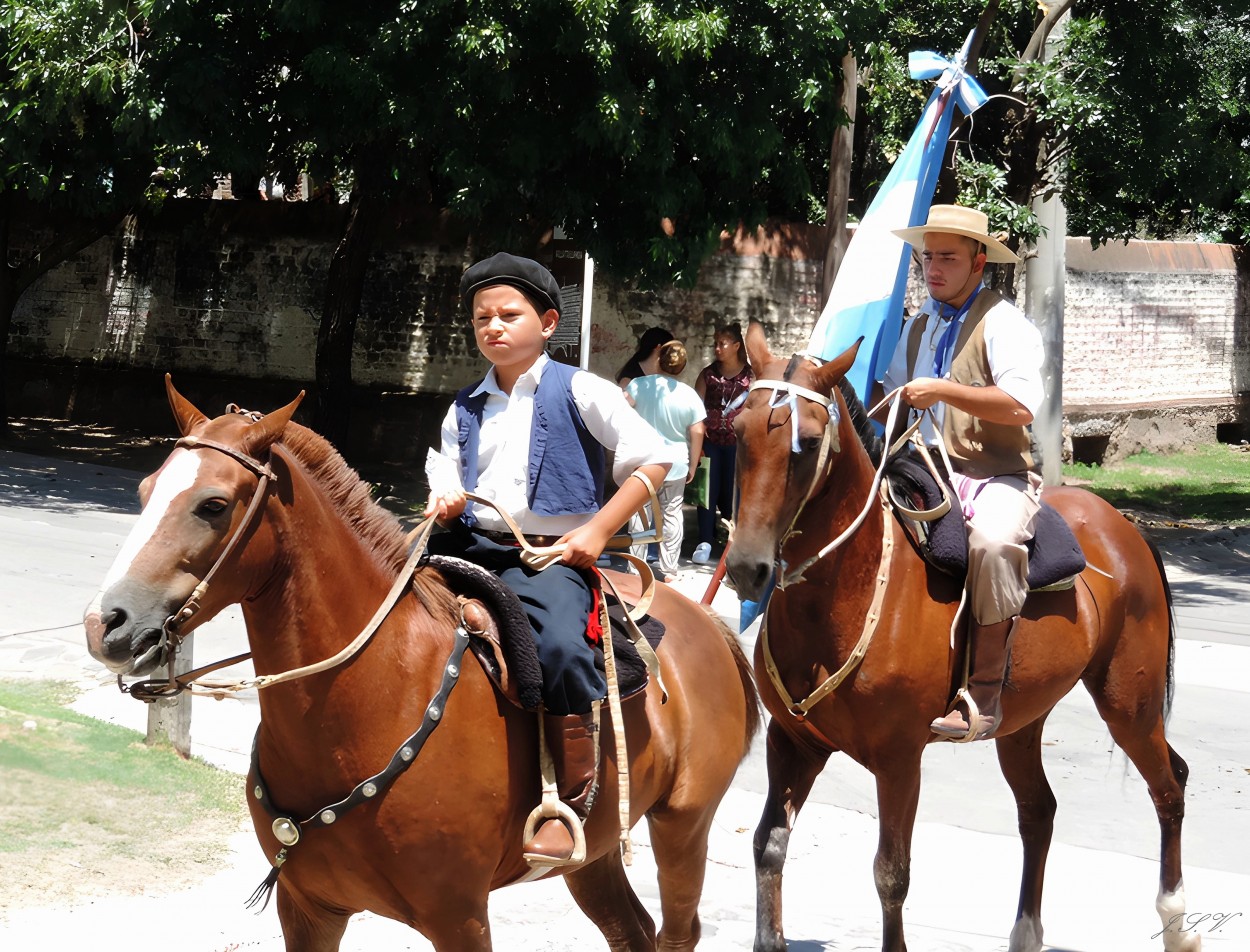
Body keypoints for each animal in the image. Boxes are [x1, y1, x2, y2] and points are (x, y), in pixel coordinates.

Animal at [85, 379, 760, 949]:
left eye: (213, 504)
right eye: (145, 491)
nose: (103, 622)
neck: (371, 695)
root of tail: (708, 622)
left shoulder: (458, 917)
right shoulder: (307, 910)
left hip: (684, 825)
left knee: (676, 931)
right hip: (591, 857)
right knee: (630, 929)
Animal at [730, 327, 1200, 949]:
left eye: (806, 442)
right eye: (737, 430)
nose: (746, 568)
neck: (843, 592)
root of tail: (1124, 527)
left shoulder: (899, 760)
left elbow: (891, 873)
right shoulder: (793, 744)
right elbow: (768, 848)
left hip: (1130, 705)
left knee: (1169, 786)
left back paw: (1176, 919)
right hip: (1021, 722)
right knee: (1039, 811)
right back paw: (1026, 931)